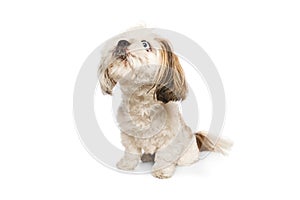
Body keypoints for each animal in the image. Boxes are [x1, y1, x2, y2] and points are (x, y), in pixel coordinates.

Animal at [97, 28, 231, 178]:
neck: (142, 106)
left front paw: (161, 171)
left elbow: (165, 156)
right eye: (123, 37)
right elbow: (130, 153)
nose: (122, 42)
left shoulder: (169, 139)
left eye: (145, 44)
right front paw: (126, 165)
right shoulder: (129, 135)